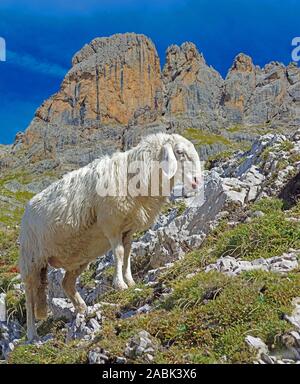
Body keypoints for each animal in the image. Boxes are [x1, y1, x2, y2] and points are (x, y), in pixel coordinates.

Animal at [19, 134, 202, 340]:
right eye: (179, 152)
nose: (197, 181)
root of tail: (26, 210)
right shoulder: (112, 225)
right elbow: (120, 253)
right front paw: (120, 284)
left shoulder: (128, 229)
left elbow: (128, 254)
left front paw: (130, 281)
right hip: (31, 258)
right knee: (29, 297)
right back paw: (32, 334)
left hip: (78, 257)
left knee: (66, 283)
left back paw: (82, 308)